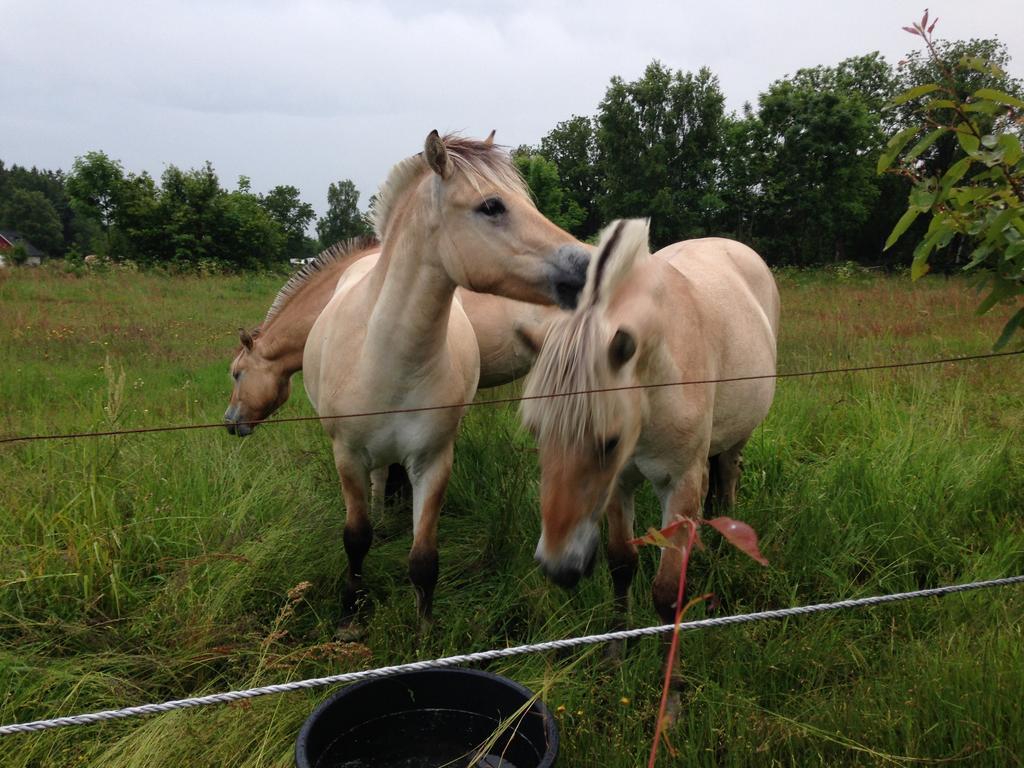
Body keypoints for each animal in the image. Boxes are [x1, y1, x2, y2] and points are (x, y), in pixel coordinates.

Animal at [303, 131, 589, 626]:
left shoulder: (433, 461)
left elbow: (424, 560)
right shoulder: (348, 456)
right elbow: (355, 537)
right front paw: (351, 612)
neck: (385, 356)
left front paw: (424, 630)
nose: (588, 265)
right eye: (492, 206)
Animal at [520, 219, 774, 626]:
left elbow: (667, 593)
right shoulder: (619, 484)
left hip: (737, 438)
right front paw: (618, 641)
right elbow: (622, 564)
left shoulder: (681, 485)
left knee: (728, 478)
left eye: (610, 441)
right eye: (537, 434)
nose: (558, 568)